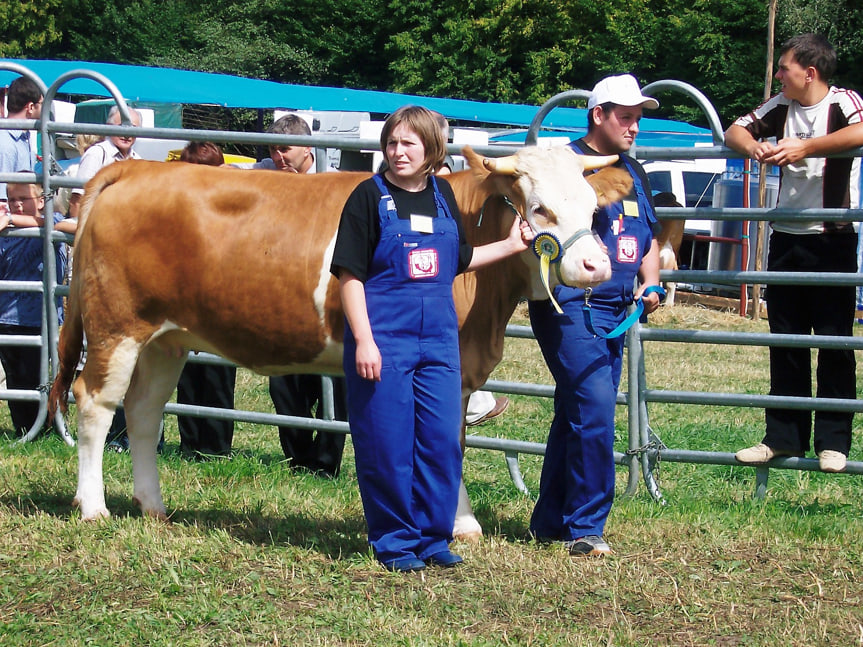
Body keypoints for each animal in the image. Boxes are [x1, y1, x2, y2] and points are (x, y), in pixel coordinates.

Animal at [49, 146, 636, 536]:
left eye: (592, 207)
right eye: (539, 210)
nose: (596, 266)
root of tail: (138, 168)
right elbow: (444, 439)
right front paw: (460, 524)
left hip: (164, 340)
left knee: (144, 413)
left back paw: (153, 506)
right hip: (117, 327)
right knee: (95, 403)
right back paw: (94, 506)